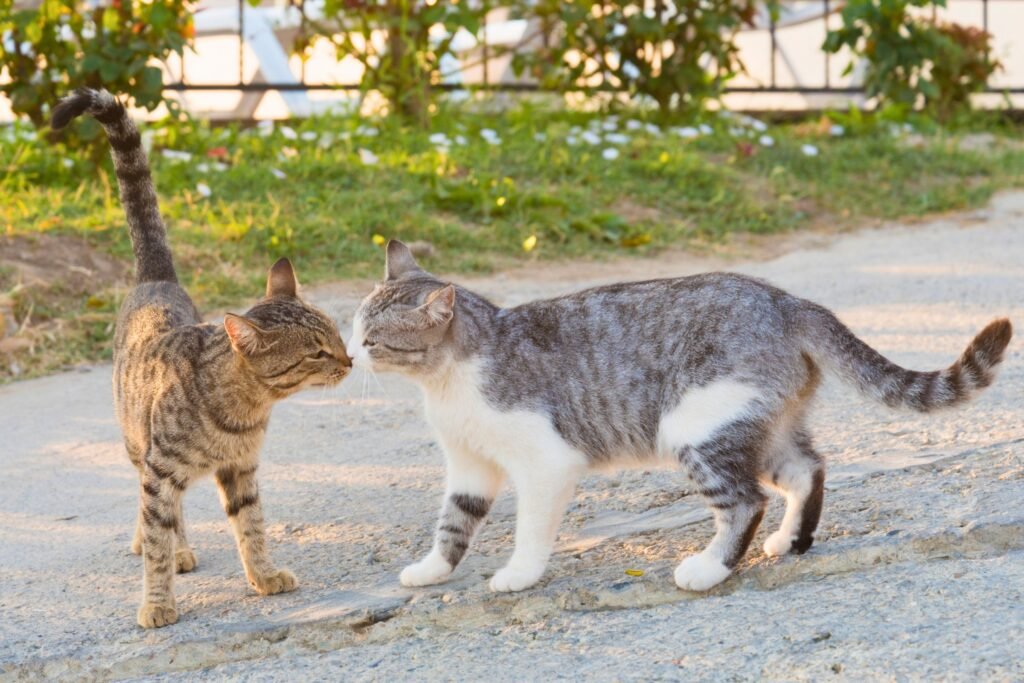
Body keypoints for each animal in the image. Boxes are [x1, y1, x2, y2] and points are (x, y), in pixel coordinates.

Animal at [50, 89, 352, 630]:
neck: (244, 411)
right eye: (318, 352)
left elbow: (252, 525)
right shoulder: (161, 470)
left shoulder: (242, 469)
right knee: (156, 511)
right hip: (138, 444)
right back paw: (176, 549)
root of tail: (157, 278)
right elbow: (156, 543)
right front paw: (157, 602)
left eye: (337, 336)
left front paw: (263, 575)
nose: (351, 359)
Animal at [348, 240, 1011, 593]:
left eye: (375, 338)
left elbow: (530, 529)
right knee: (807, 470)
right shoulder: (469, 466)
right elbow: (453, 522)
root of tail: (788, 301)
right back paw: (791, 541)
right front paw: (432, 570)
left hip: (696, 428)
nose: (352, 353)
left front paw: (519, 574)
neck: (448, 381)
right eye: (355, 325)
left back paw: (710, 567)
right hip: (760, 424)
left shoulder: (544, 463)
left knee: (746, 501)